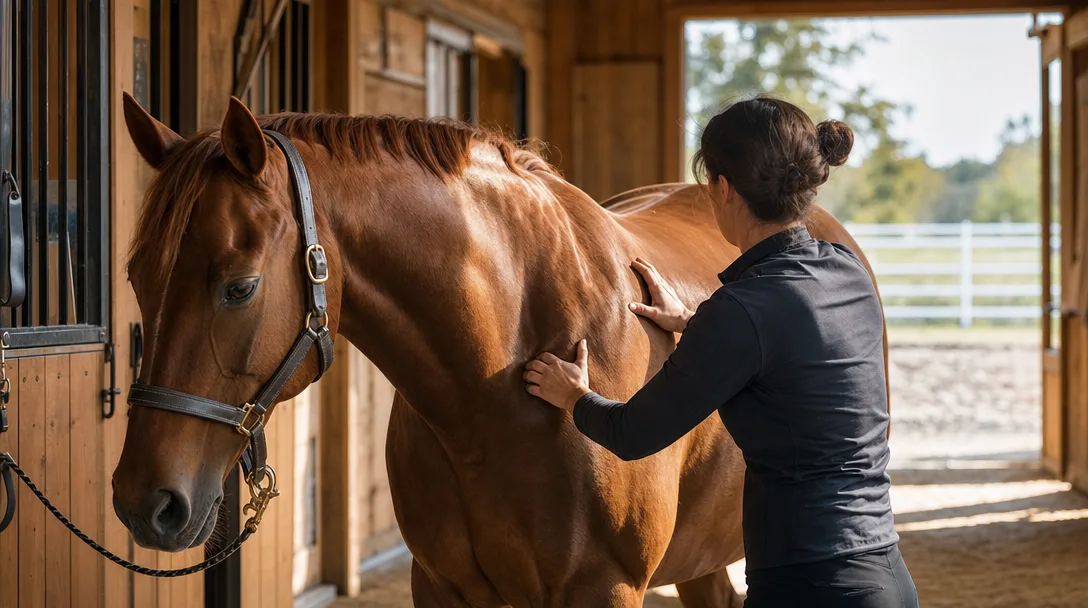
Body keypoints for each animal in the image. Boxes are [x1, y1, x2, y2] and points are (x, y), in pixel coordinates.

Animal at [111, 93, 886, 607]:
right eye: (136, 276)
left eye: (238, 287)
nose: (146, 502)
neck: (494, 386)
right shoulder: (445, 586)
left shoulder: (606, 590)